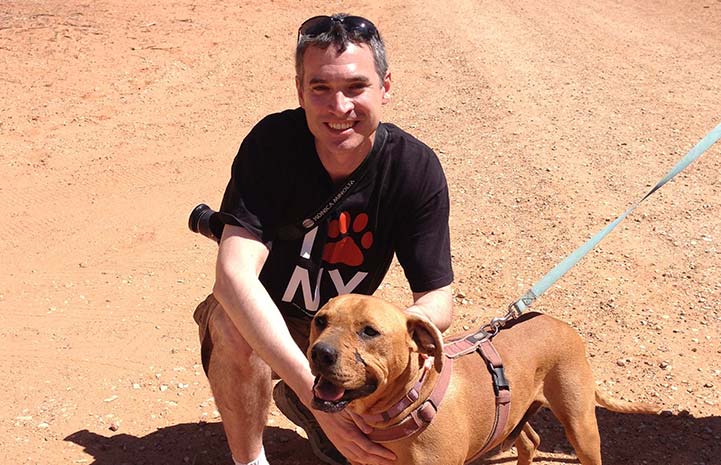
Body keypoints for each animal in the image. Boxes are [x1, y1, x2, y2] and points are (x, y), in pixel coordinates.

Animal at [306, 296, 660, 462]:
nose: (319, 353)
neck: (411, 400)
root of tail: (563, 325)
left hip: (580, 425)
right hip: (513, 413)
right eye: (320, 320)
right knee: (531, 441)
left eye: (369, 331)